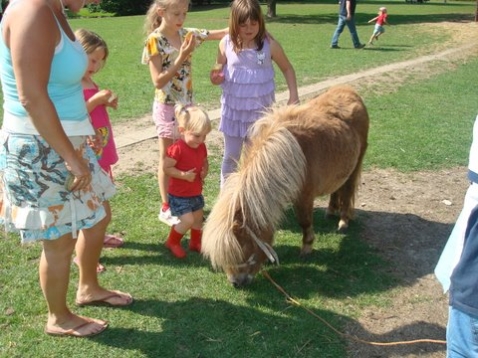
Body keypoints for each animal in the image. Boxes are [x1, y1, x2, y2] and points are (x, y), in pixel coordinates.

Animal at [202, 86, 370, 288]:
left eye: (243, 251)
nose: (236, 283)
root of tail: (350, 91)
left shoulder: (304, 196)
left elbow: (304, 221)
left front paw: (307, 247)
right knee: (337, 188)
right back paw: (331, 210)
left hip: (357, 164)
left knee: (347, 191)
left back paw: (343, 220)